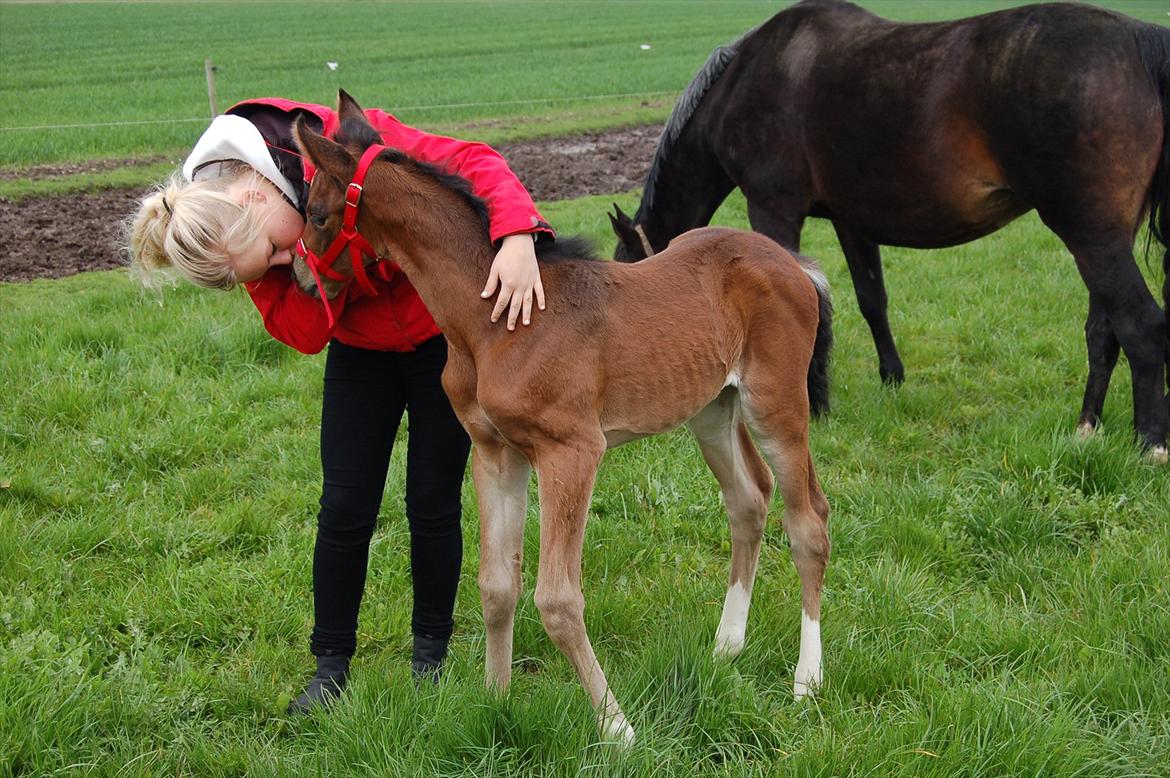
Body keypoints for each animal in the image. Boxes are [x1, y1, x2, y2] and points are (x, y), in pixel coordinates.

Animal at [297, 94, 837, 744]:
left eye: (317, 214)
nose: (301, 279)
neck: (493, 319)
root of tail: (794, 263)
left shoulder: (571, 451)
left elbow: (556, 599)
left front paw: (617, 728)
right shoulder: (495, 452)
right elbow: (496, 585)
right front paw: (496, 702)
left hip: (775, 404)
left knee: (808, 520)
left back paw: (807, 681)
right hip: (711, 409)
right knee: (749, 500)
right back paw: (725, 648)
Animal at [613, 0, 1170, 458]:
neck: (745, 77)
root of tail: (1137, 38)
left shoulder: (773, 209)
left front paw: (810, 400)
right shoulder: (853, 222)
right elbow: (870, 299)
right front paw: (889, 378)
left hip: (1091, 237)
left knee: (1142, 325)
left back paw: (1150, 443)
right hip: (1103, 239)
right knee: (1104, 331)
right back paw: (1086, 427)